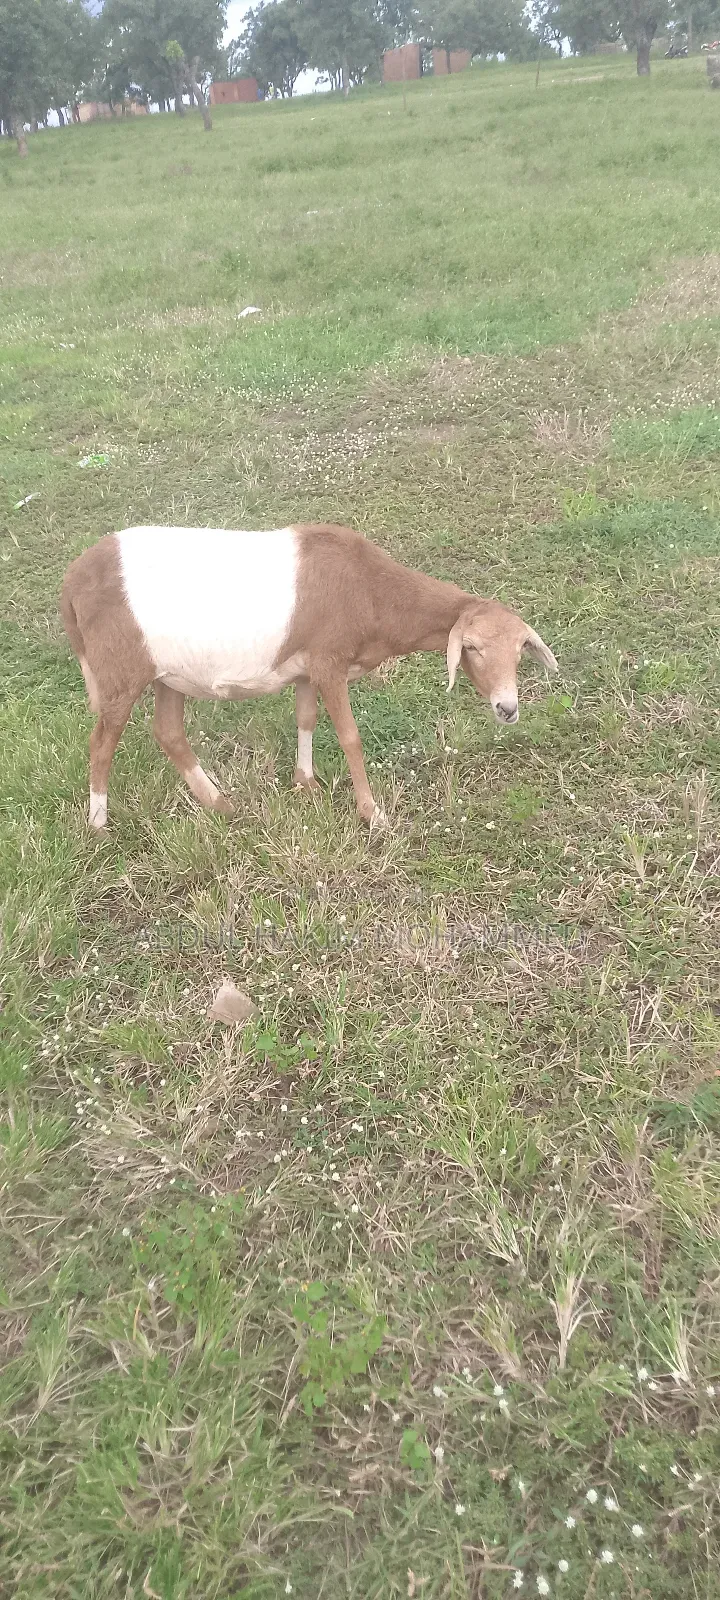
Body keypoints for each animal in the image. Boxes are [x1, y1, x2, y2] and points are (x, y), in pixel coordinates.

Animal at [60, 521, 557, 829]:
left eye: (520, 650)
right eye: (471, 648)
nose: (507, 708)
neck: (370, 589)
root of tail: (72, 583)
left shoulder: (305, 669)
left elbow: (306, 718)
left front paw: (306, 784)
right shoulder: (328, 661)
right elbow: (350, 736)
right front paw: (372, 813)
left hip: (169, 674)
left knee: (168, 732)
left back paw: (222, 804)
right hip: (121, 672)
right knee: (101, 743)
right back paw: (99, 824)